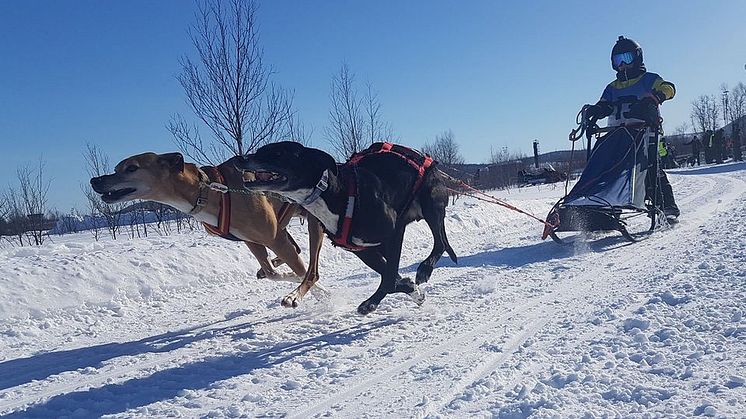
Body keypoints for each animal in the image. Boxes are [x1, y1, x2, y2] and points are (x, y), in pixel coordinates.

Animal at [89, 152, 322, 296]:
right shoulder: (252, 241)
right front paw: (282, 274)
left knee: (311, 266)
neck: (208, 192)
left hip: (313, 227)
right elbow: (275, 274)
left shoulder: (275, 239)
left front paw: (319, 295)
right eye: (116, 168)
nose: (94, 180)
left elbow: (303, 273)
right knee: (295, 253)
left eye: (131, 168)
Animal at [232, 141, 456, 316]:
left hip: (431, 205)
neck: (333, 193)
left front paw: (371, 303)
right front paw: (413, 290)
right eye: (261, 149)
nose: (238, 159)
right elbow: (392, 275)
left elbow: (390, 278)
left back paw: (425, 269)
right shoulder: (362, 251)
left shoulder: (394, 231)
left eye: (277, 153)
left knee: (441, 243)